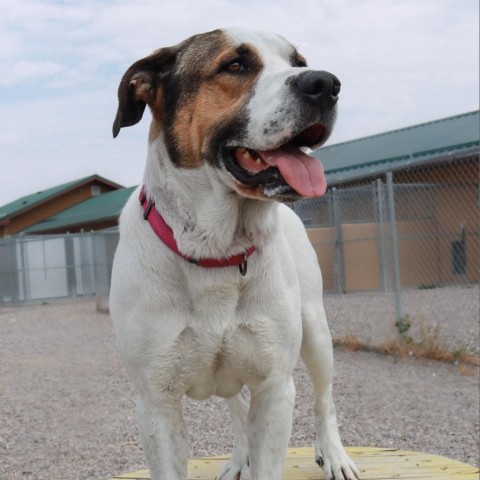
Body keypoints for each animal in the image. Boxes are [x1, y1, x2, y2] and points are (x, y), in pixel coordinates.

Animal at [110, 27, 358, 480]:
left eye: (298, 63)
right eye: (236, 65)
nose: (325, 83)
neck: (216, 250)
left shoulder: (275, 388)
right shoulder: (156, 402)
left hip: (315, 328)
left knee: (324, 397)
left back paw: (334, 454)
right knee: (237, 408)